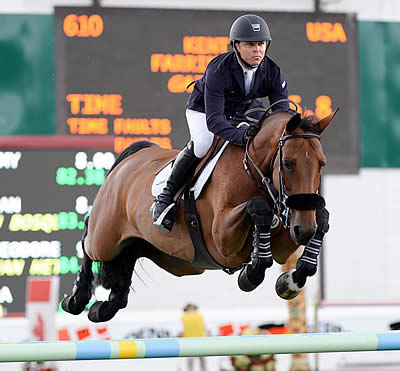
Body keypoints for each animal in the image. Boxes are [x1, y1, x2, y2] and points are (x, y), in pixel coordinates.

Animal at [63, 104, 338, 322]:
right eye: (288, 163)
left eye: (322, 163)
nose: (304, 229)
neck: (252, 171)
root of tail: (131, 159)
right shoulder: (222, 240)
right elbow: (256, 208)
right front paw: (251, 272)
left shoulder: (283, 241)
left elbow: (321, 219)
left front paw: (290, 280)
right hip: (106, 238)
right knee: (87, 238)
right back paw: (77, 298)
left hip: (166, 255)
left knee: (123, 266)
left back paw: (104, 307)